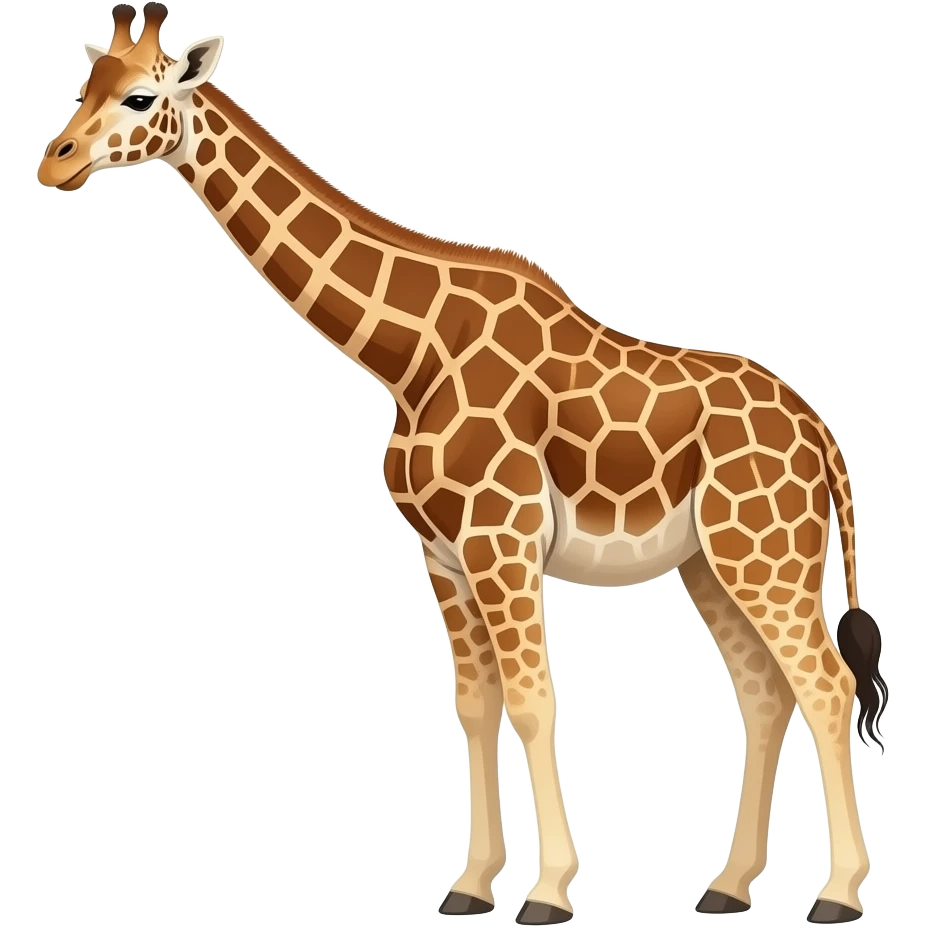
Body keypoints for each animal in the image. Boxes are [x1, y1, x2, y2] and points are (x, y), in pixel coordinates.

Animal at [36, 5, 890, 924]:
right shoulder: (441, 553)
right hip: (710, 560)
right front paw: (472, 884)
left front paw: (547, 891)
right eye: (85, 82)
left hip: (763, 553)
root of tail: (821, 436)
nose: (56, 161)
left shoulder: (500, 540)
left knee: (825, 684)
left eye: (142, 94)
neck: (408, 355)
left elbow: (533, 698)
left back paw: (837, 893)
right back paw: (728, 886)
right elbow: (475, 707)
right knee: (765, 692)